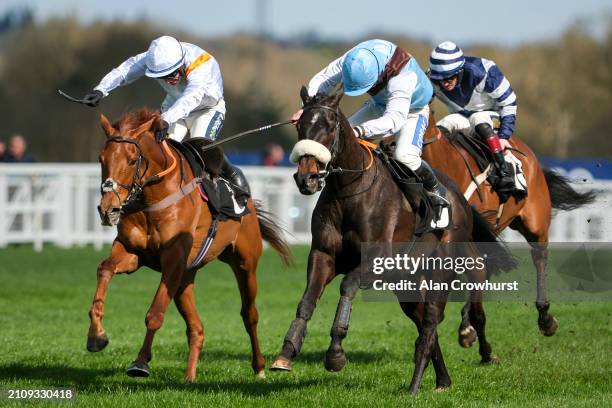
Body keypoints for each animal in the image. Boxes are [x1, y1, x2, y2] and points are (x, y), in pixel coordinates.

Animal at [86, 107, 294, 380]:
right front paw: (96, 336)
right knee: (197, 328)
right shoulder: (133, 253)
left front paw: (140, 362)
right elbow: (104, 269)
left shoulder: (173, 260)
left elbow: (155, 313)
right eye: (101, 159)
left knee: (249, 314)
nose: (107, 208)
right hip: (185, 278)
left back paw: (259, 367)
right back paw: (189, 378)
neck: (154, 198)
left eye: (132, 160)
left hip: (245, 263)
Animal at [270, 87, 512, 396]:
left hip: (441, 269)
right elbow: (307, 301)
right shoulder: (323, 255)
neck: (349, 191)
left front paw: (335, 353)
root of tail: (459, 197)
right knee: (424, 324)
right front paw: (286, 352)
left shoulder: (378, 262)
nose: (307, 178)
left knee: (430, 322)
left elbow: (347, 285)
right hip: (407, 284)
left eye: (329, 126)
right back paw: (443, 380)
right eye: (300, 127)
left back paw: (416, 385)